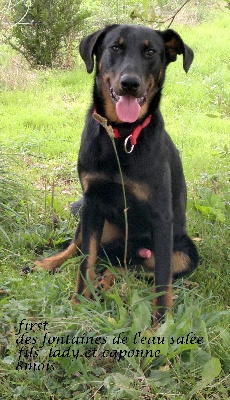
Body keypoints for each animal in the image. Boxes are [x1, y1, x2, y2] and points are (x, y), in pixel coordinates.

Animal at [33, 23, 199, 322]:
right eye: (115, 47)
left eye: (151, 52)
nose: (130, 83)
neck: (121, 135)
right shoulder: (92, 203)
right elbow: (84, 262)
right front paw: (78, 304)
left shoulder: (161, 218)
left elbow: (162, 280)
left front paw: (160, 323)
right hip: (92, 220)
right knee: (80, 248)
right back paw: (51, 263)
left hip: (184, 253)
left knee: (132, 268)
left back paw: (107, 279)